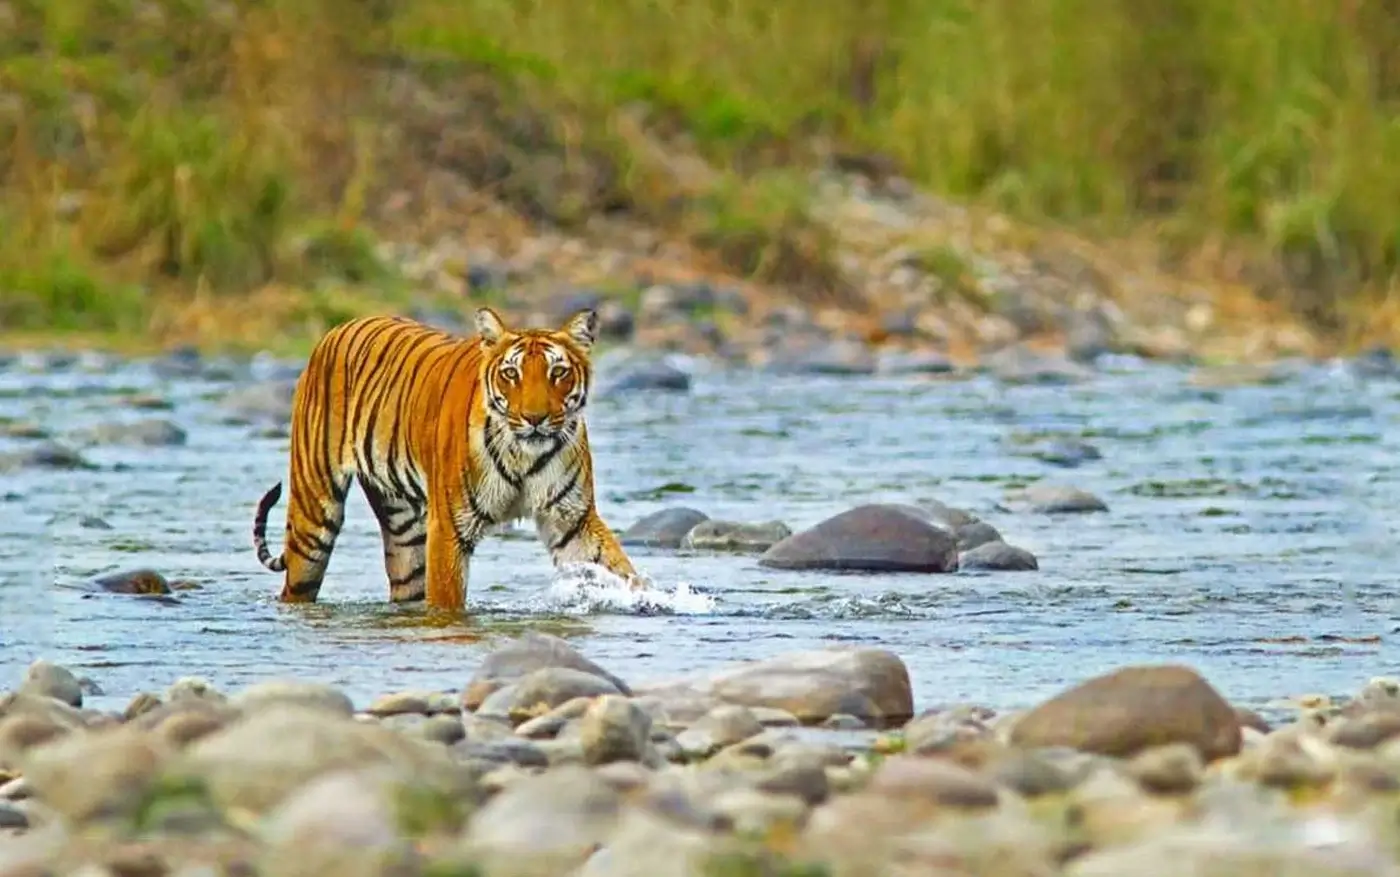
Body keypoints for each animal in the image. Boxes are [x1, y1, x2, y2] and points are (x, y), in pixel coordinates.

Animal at [250, 305, 641, 608]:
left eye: (557, 372)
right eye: (511, 374)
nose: (534, 418)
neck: (524, 455)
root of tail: (336, 329)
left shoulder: (572, 519)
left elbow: (619, 569)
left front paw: (646, 600)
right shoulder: (449, 528)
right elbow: (447, 601)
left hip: (404, 532)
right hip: (313, 517)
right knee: (296, 583)